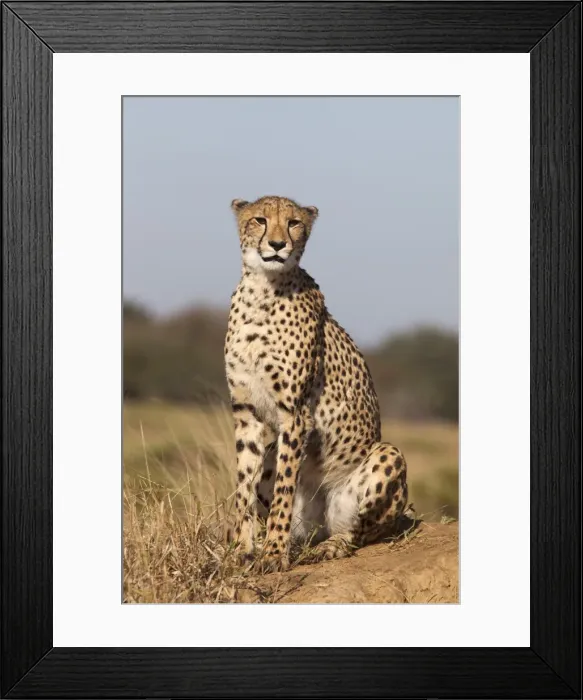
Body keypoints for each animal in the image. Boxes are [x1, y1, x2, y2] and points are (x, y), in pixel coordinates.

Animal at [224, 195, 409, 571]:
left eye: (293, 223)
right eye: (260, 220)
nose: (277, 244)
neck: (262, 289)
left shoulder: (296, 414)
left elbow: (284, 490)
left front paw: (273, 555)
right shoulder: (246, 412)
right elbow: (243, 486)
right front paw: (242, 551)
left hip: (386, 455)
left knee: (359, 532)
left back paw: (330, 547)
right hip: (274, 456)